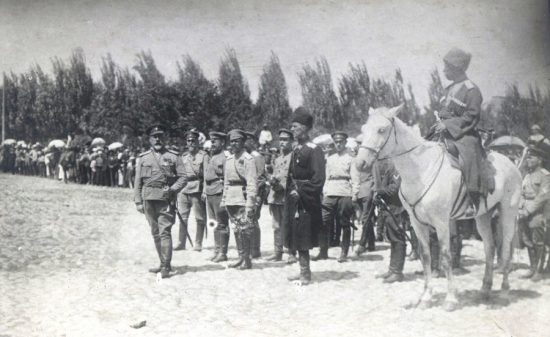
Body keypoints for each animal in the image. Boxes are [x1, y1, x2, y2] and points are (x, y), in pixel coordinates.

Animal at [356, 104, 524, 310]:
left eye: (381, 129)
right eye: (364, 129)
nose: (360, 163)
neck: (420, 170)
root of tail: (512, 164)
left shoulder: (442, 222)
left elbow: (445, 256)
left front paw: (450, 299)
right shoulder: (417, 223)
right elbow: (426, 256)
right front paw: (425, 297)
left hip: (508, 212)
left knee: (506, 249)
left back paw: (505, 292)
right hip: (482, 216)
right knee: (490, 247)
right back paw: (485, 289)